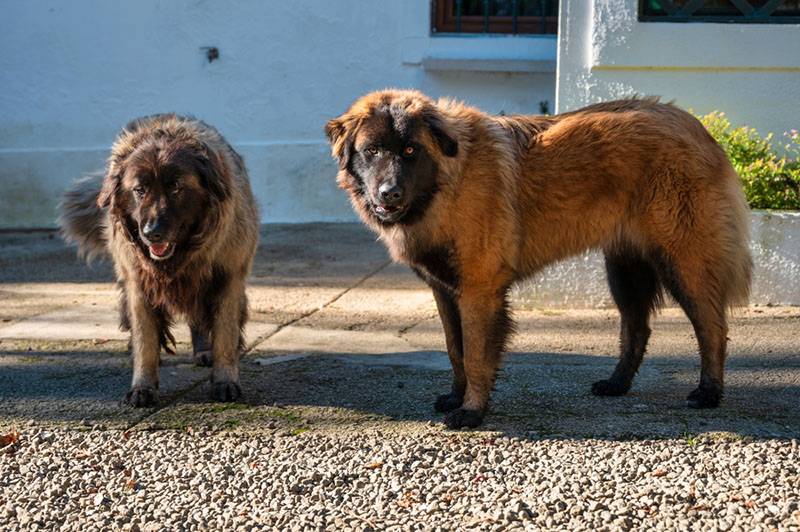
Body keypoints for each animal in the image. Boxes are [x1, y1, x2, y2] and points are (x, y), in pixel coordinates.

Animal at [60, 114, 260, 406]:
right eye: (139, 190)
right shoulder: (139, 283)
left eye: (176, 187)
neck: (180, 256)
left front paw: (224, 381)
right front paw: (142, 386)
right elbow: (146, 340)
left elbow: (225, 334)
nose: (151, 232)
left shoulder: (227, 277)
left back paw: (204, 351)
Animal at [324, 90, 752, 428]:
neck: (448, 181)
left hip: (683, 263)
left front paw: (472, 411)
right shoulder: (445, 291)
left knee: (712, 328)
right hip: (624, 269)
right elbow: (454, 350)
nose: (389, 193)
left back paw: (708, 392)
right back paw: (616, 384)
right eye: (372, 151)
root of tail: (697, 127)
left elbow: (476, 355)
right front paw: (456, 397)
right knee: (637, 329)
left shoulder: (479, 290)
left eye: (410, 150)